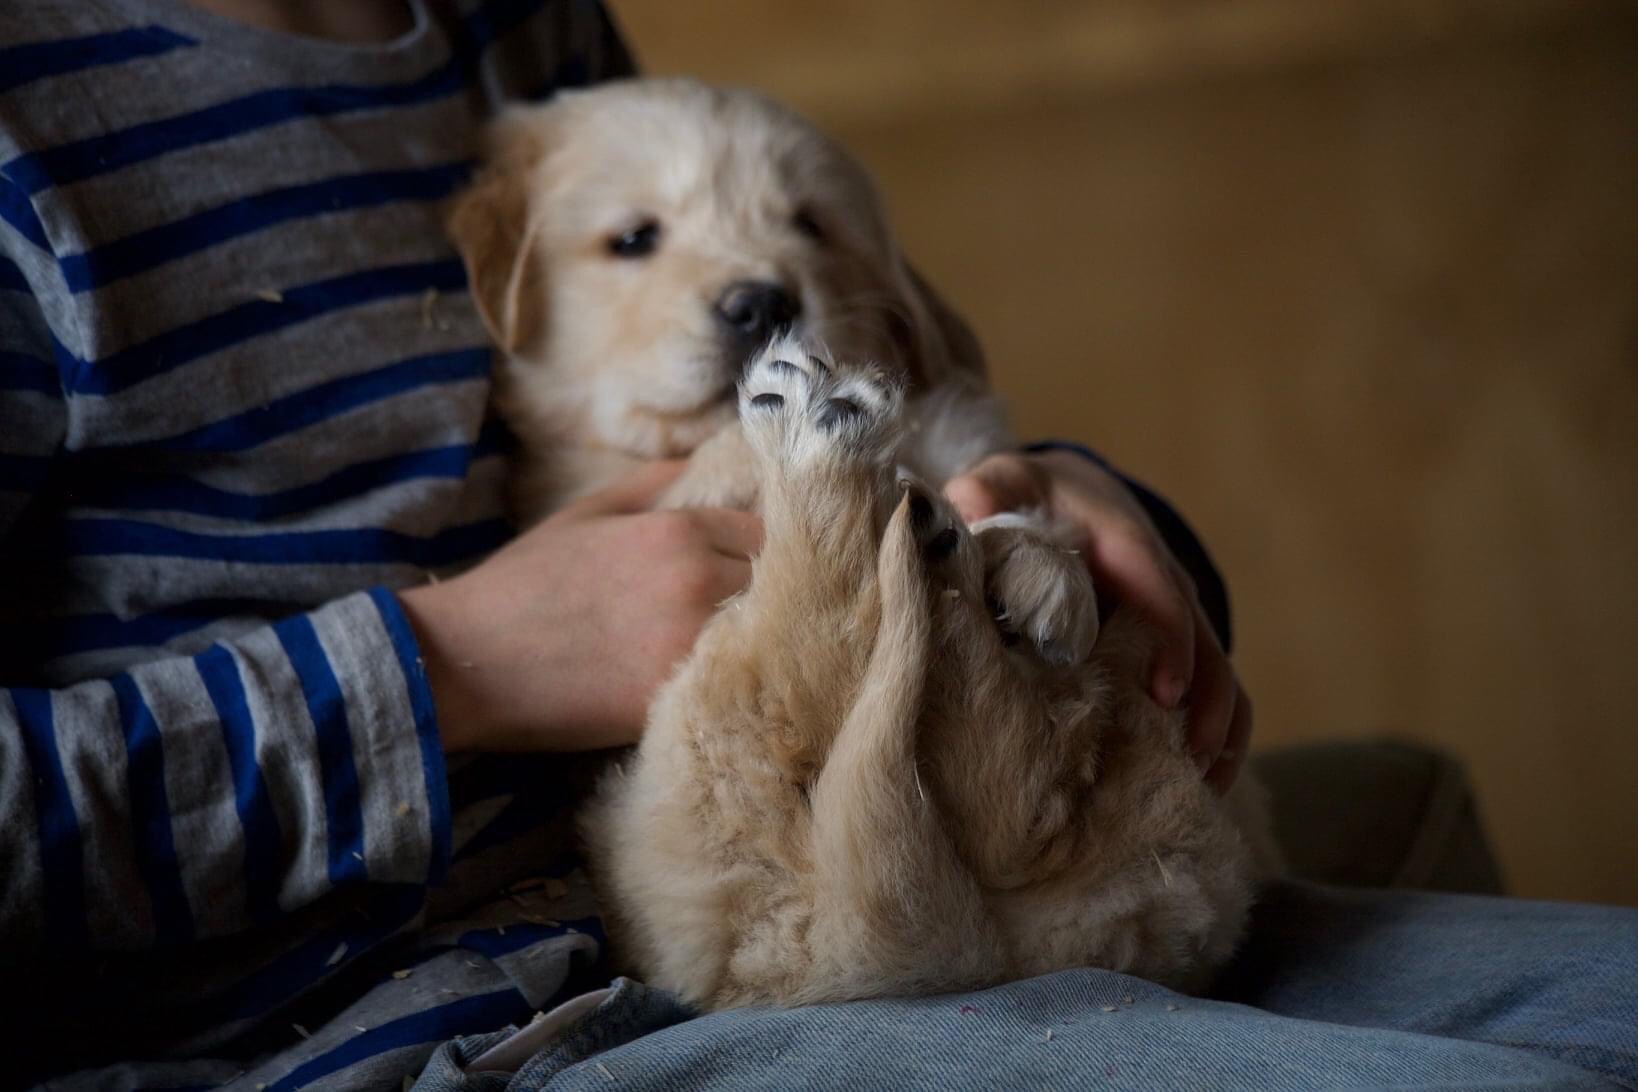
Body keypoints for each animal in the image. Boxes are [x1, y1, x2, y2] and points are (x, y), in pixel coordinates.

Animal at [448, 77, 1278, 1009]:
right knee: (813, 661)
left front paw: (1041, 570)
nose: (762, 304)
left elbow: (1000, 490)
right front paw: (753, 448)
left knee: (1015, 804)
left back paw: (940, 554)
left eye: (812, 225)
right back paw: (824, 459)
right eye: (634, 239)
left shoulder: (961, 433)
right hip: (696, 774)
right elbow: (705, 465)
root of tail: (970, 951)